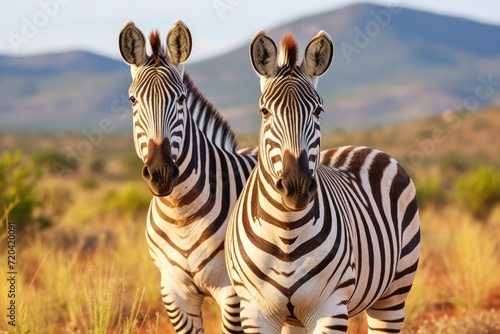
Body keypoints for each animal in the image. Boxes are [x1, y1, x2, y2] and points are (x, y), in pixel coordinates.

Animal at [119, 20, 256, 332]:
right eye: (133, 100)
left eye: (180, 99)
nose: (160, 172)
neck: (181, 213)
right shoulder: (174, 291)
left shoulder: (232, 293)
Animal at [225, 30, 420, 332]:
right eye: (265, 112)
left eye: (318, 111)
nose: (296, 187)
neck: (286, 232)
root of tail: (361, 147)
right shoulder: (255, 311)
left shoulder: (330, 307)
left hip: (393, 294)